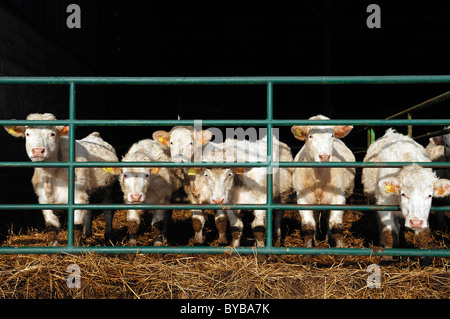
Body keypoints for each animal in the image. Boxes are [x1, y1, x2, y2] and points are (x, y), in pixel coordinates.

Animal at [5, 114, 118, 246]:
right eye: (27, 134)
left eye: (52, 134)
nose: (38, 150)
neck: (51, 176)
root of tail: (94, 136)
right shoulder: (43, 199)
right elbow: (51, 227)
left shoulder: (78, 196)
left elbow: (76, 226)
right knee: (88, 211)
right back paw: (87, 234)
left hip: (108, 189)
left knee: (107, 211)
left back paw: (108, 236)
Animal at [290, 115, 356, 250]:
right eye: (310, 136)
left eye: (331, 136)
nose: (324, 157)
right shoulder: (303, 199)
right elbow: (308, 226)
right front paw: (308, 247)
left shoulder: (338, 197)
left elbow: (336, 225)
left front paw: (339, 247)